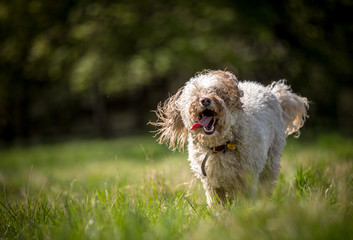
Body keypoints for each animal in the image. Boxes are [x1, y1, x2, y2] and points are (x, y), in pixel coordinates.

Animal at [150, 70, 306, 206]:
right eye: (195, 94)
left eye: (216, 92)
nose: (205, 100)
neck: (219, 146)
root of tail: (271, 91)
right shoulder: (212, 184)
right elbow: (217, 204)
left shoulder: (247, 178)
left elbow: (245, 200)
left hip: (271, 159)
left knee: (266, 184)